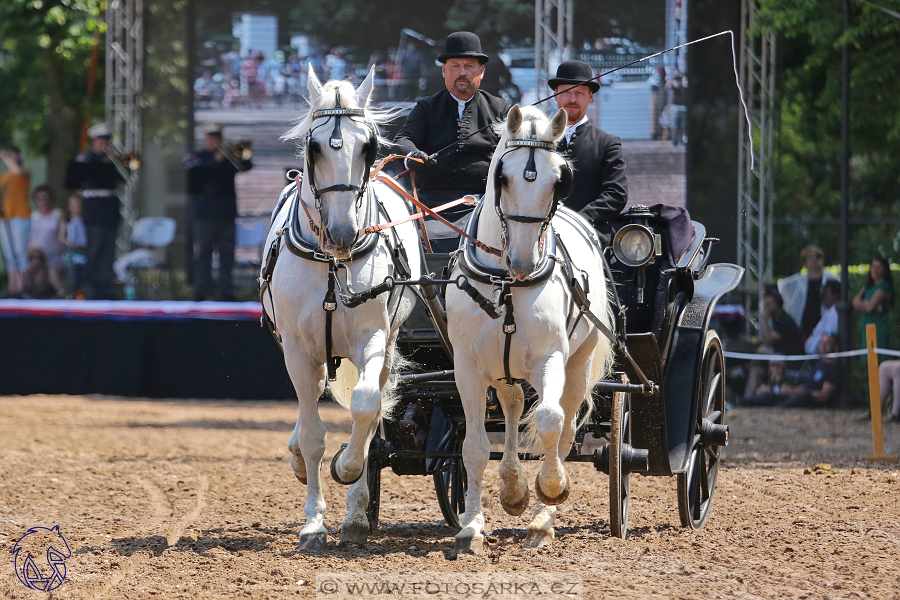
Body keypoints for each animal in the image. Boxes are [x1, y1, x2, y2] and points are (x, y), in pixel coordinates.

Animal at [262, 65, 424, 548]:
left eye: (368, 147)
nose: (343, 233)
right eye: (313, 147)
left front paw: (348, 472)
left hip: (386, 344)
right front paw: (313, 523)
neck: (332, 263)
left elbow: (366, 407)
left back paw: (355, 510)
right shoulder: (298, 349)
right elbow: (314, 434)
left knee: (369, 407)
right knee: (309, 407)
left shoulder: (371, 339)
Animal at [446, 104, 616, 552]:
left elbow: (550, 423)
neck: (507, 281)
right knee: (512, 405)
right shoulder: (467, 366)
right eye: (502, 178)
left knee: (566, 425)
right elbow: (473, 447)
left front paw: (551, 490)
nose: (522, 262)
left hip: (577, 362)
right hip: (502, 367)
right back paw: (512, 488)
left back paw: (542, 516)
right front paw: (471, 526)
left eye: (559, 180)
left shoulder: (550, 358)